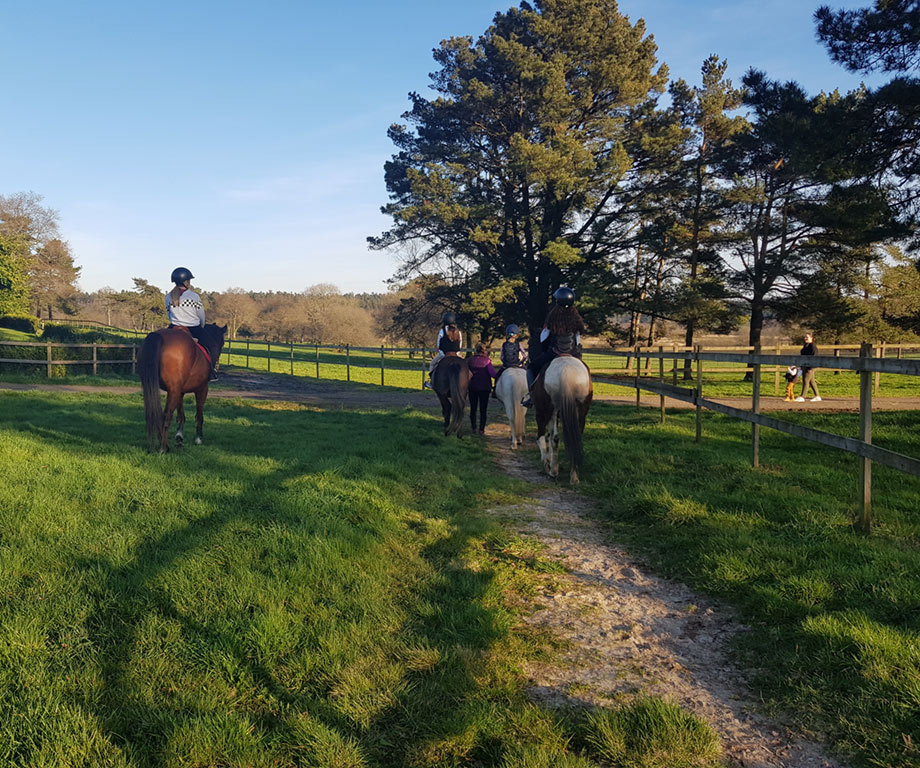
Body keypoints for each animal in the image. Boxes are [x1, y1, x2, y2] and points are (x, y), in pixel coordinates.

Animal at [139, 322, 227, 450]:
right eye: (223, 342)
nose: (217, 366)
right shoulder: (202, 389)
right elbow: (199, 415)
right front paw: (198, 438)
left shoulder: (179, 391)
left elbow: (181, 415)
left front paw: (179, 437)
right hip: (174, 390)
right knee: (166, 416)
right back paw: (163, 448)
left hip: (158, 388)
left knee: (157, 414)